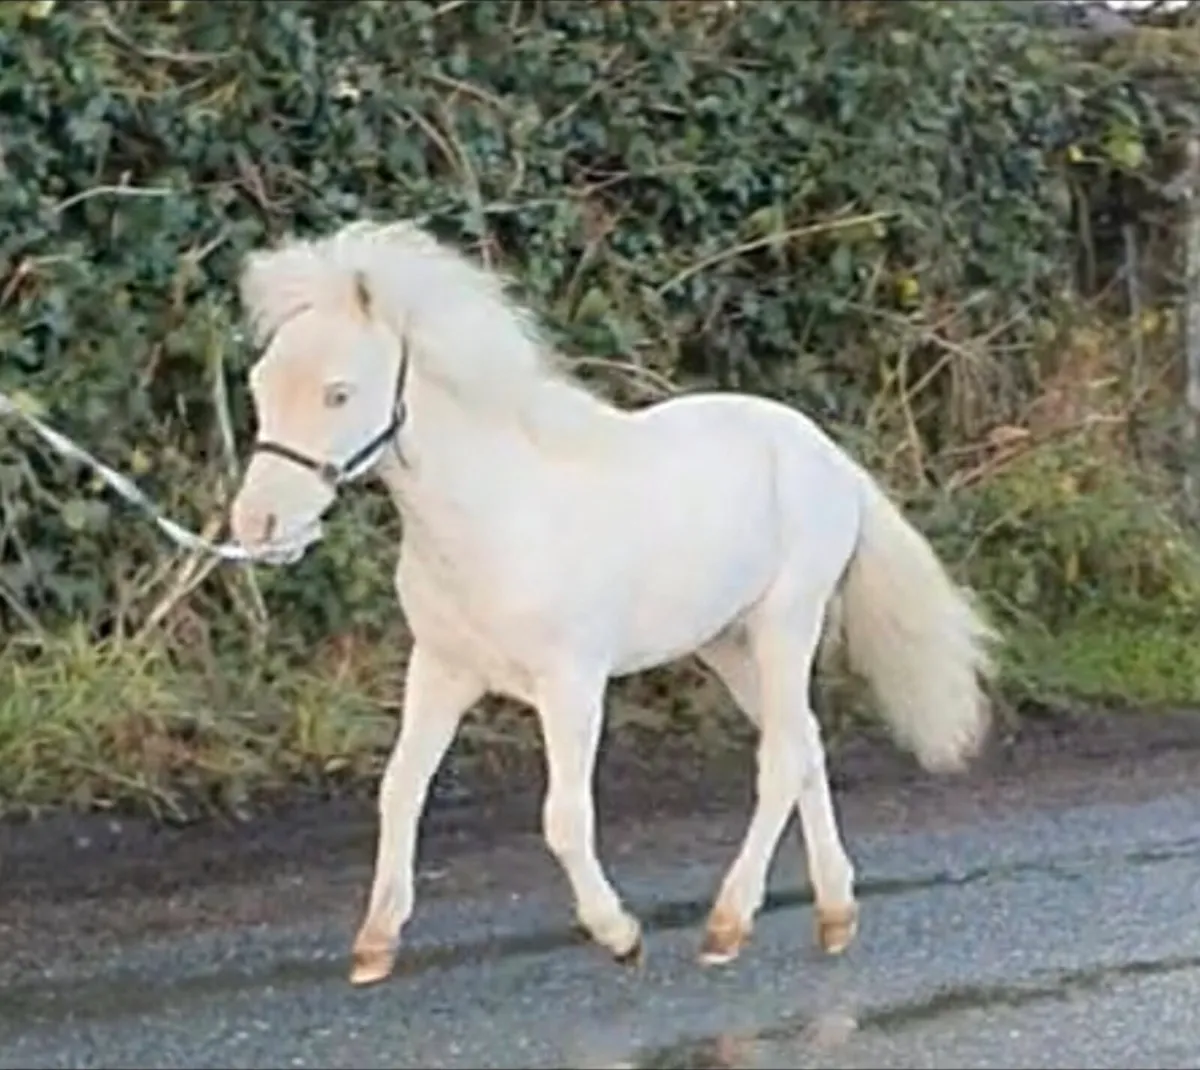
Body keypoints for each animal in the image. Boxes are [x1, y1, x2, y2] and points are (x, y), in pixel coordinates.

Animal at [228, 218, 997, 987]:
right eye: (261, 383)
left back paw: (727, 927)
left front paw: (620, 935)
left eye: (338, 392)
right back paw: (835, 915)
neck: (496, 516)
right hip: (726, 643)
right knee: (803, 741)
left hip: (786, 623)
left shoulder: (572, 683)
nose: (258, 526)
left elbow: (563, 818)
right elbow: (400, 790)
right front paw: (375, 944)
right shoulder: (442, 669)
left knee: (781, 757)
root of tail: (828, 455)